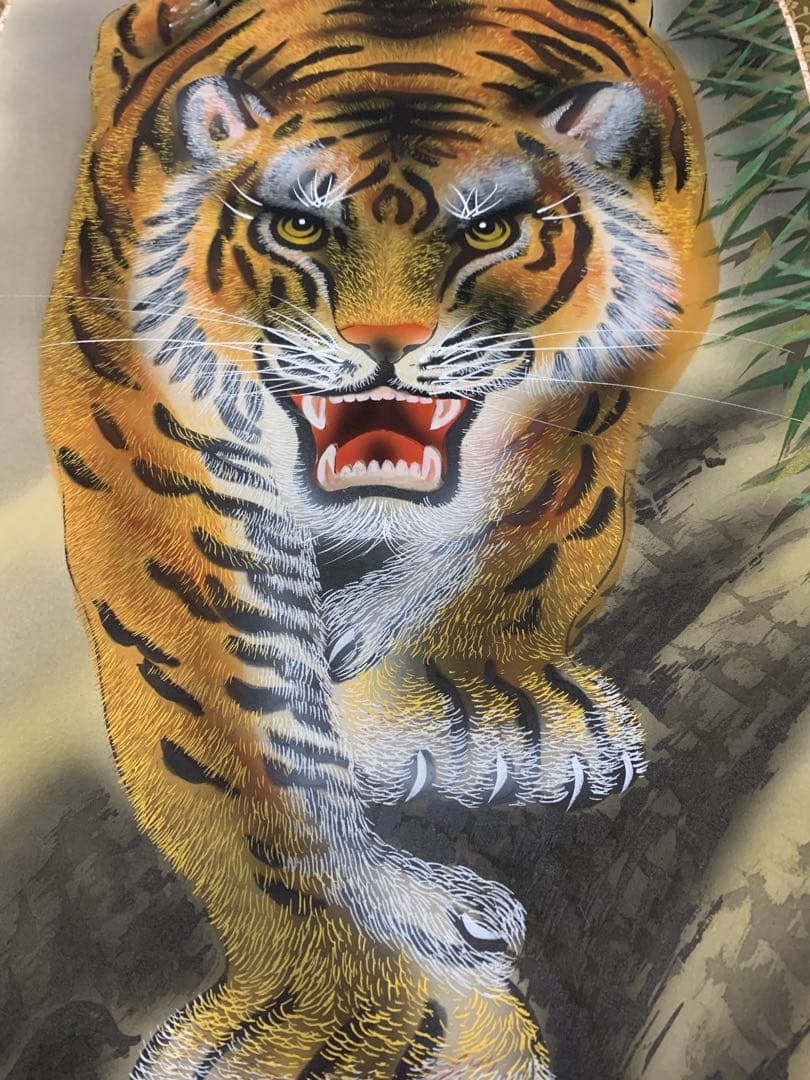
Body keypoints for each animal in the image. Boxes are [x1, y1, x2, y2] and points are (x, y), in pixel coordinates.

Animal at [40, 0, 716, 1075]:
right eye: (299, 226)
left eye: (488, 229)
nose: (385, 345)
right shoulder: (141, 433)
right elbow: (233, 742)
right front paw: (361, 1020)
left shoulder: (620, 367)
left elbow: (540, 513)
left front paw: (475, 710)